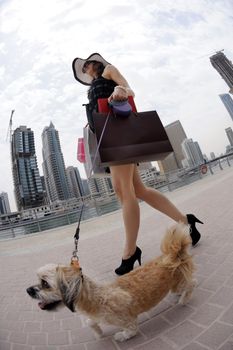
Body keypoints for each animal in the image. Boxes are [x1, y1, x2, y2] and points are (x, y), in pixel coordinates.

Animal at [26, 224, 196, 342]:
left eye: (45, 284)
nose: (28, 290)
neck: (96, 297)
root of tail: (173, 256)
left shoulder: (129, 321)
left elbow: (131, 331)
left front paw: (121, 336)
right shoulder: (94, 315)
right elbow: (90, 322)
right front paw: (98, 332)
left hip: (179, 283)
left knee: (192, 283)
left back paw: (184, 299)